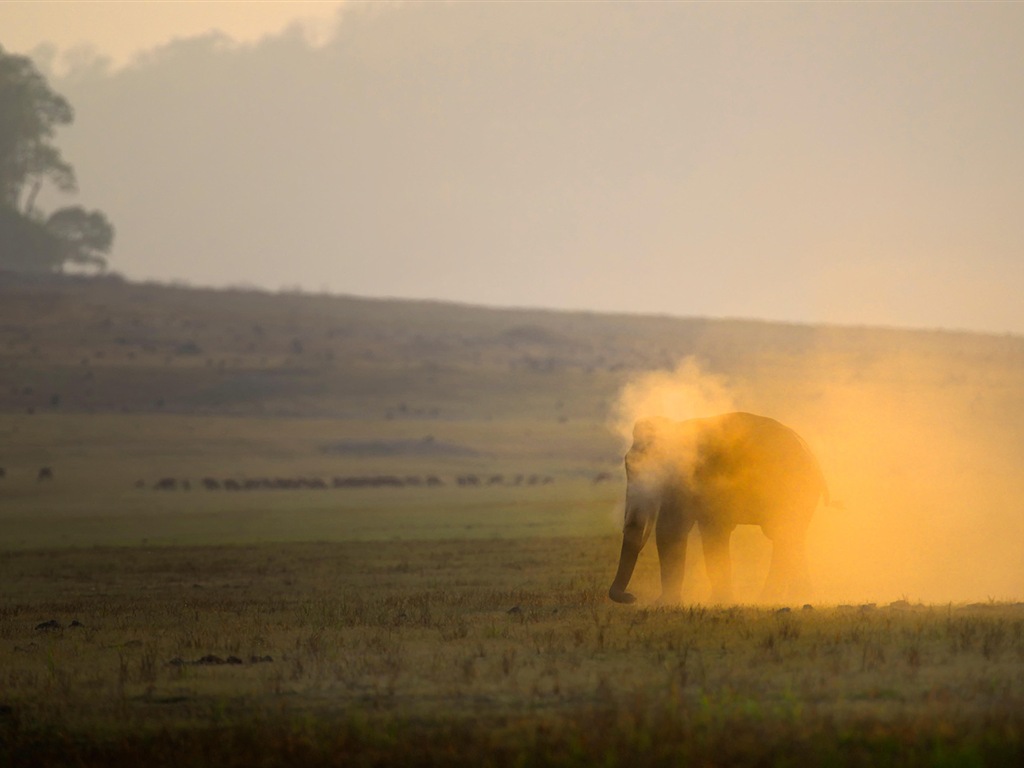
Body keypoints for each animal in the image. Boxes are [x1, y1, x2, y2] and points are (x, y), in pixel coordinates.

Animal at [602, 415, 827, 606]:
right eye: (627, 465)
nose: (631, 597)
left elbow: (675, 529)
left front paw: (668, 604)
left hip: (791, 489)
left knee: (782, 535)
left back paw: (769, 599)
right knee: (790, 537)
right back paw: (802, 598)